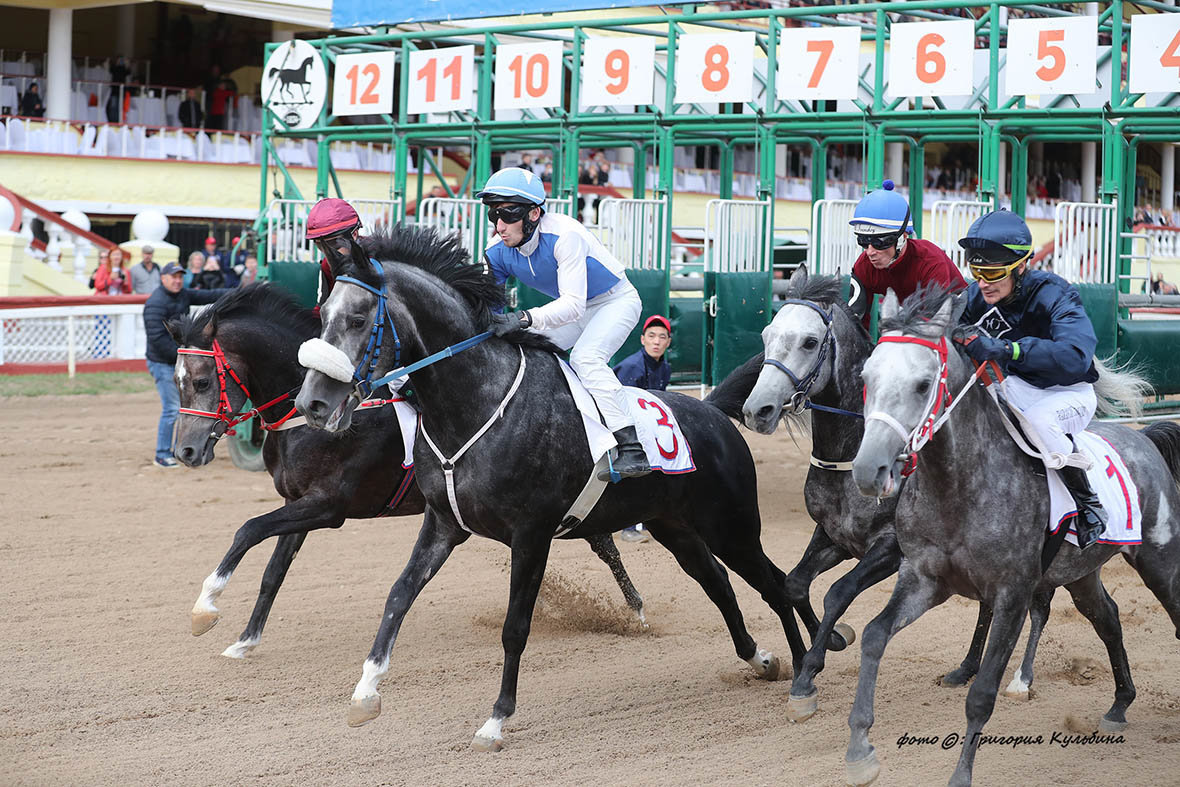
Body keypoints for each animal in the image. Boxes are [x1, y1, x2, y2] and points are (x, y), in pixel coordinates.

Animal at [167, 283, 646, 660]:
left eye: (203, 381)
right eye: (176, 382)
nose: (185, 451)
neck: (304, 419)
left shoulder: (328, 506)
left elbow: (247, 529)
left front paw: (205, 607)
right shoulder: (297, 501)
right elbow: (273, 571)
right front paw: (245, 640)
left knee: (603, 544)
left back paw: (638, 611)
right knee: (595, 536)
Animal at [295, 226, 807, 750]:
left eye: (359, 318)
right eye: (323, 314)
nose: (312, 402)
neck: (475, 404)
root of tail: (714, 412)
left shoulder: (532, 534)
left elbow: (515, 627)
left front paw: (496, 720)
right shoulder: (442, 523)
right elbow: (399, 595)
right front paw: (365, 693)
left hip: (732, 524)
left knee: (776, 583)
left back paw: (805, 669)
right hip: (676, 527)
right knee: (718, 582)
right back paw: (761, 659)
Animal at [854, 289, 1180, 787]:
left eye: (922, 384)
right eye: (866, 376)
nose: (867, 470)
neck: (959, 486)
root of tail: (1145, 438)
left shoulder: (1012, 592)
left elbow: (982, 693)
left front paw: (960, 776)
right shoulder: (925, 580)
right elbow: (873, 635)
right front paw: (859, 748)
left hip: (1160, 559)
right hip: (1081, 573)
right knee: (1108, 617)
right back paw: (1119, 705)